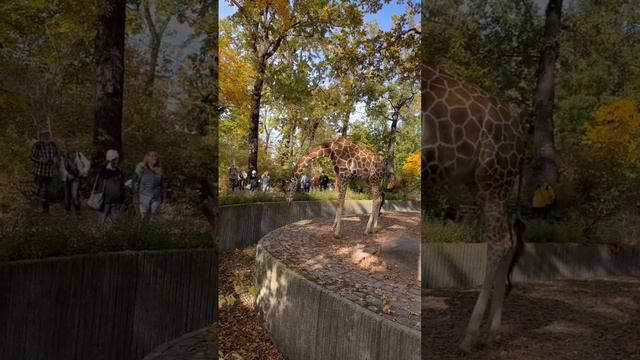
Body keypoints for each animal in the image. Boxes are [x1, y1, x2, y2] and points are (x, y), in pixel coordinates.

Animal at [420, 64, 524, 352]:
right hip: (479, 182)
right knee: (508, 238)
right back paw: (491, 334)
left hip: (493, 177)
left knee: (500, 241)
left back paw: (470, 337)